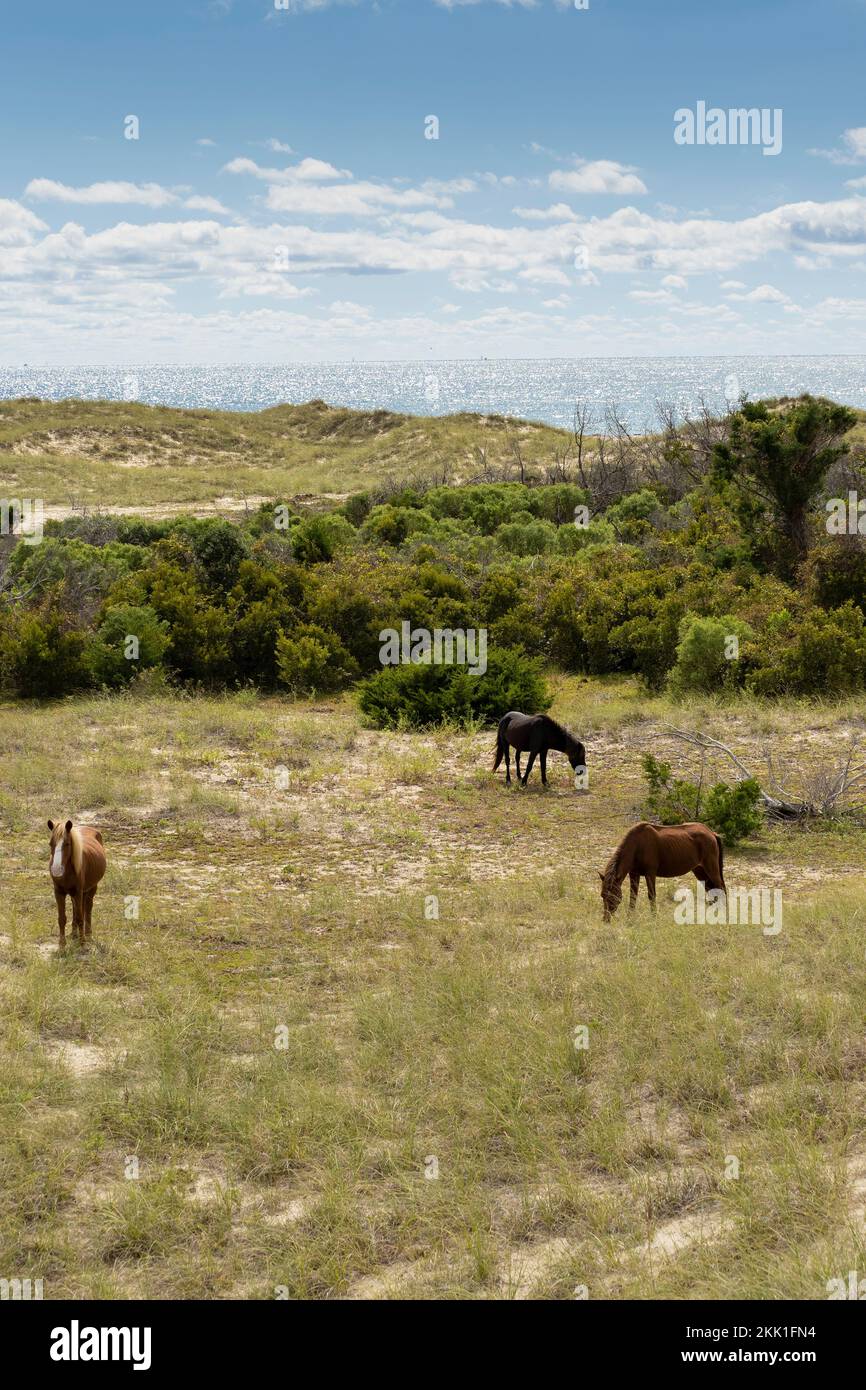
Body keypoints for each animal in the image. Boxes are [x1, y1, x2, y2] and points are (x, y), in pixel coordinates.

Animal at [47, 811, 107, 945]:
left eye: (67, 844)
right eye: (51, 844)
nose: (56, 870)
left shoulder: (79, 891)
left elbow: (80, 916)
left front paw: (82, 942)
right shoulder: (59, 892)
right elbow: (62, 918)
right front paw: (62, 944)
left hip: (91, 888)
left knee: (88, 908)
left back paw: (88, 934)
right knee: (76, 908)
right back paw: (74, 933)